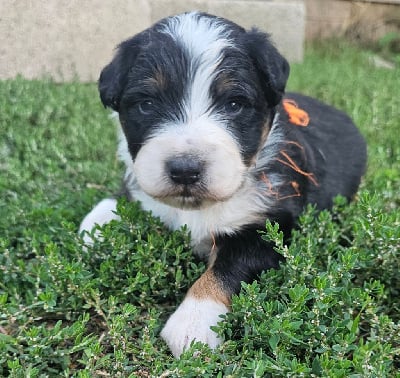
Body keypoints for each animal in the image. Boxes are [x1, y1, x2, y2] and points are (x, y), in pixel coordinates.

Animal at [79, 11, 368, 358]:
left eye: (234, 104)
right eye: (147, 104)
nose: (185, 170)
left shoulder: (271, 223)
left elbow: (228, 267)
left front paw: (193, 323)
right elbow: (126, 195)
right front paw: (94, 225)